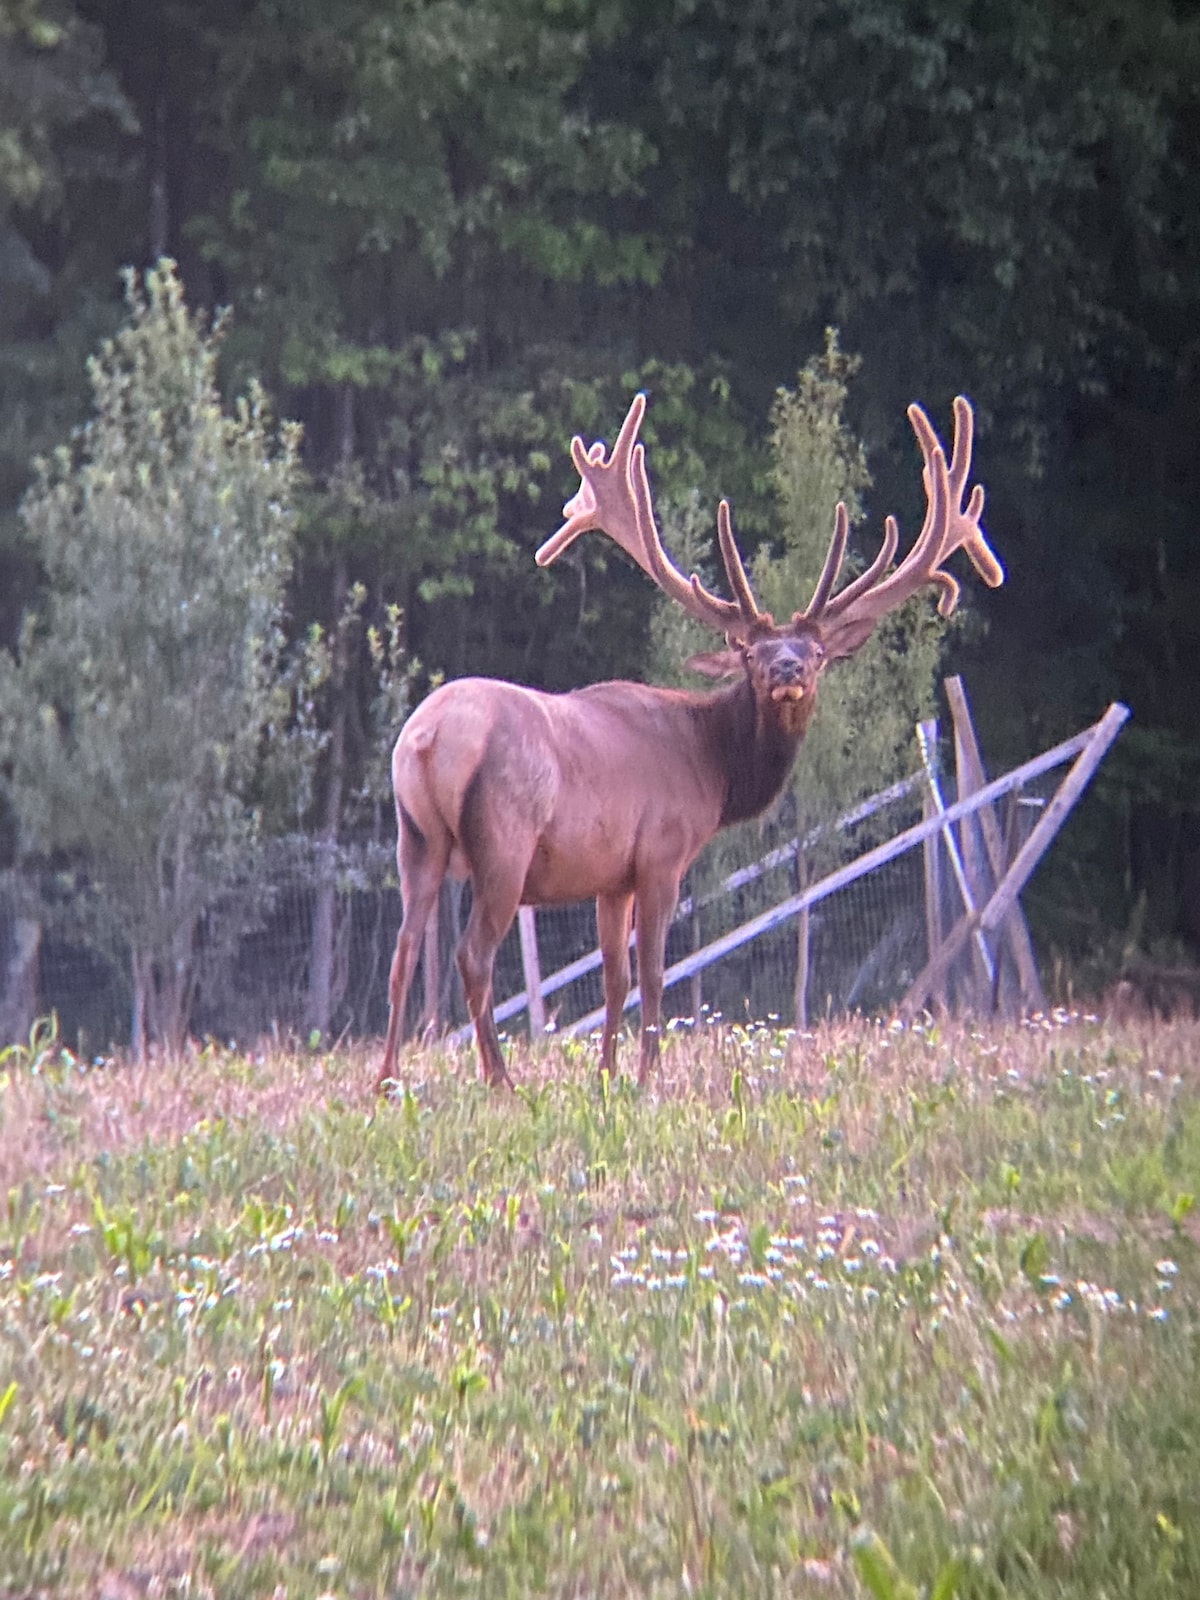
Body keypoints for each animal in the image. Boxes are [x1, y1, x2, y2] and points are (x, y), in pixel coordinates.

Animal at [377, 392, 1004, 1088]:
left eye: (816, 653)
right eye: (750, 654)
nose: (787, 671)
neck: (714, 769)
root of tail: (426, 738)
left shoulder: (611, 876)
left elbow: (615, 978)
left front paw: (606, 1075)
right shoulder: (661, 851)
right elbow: (653, 974)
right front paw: (648, 1077)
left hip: (416, 838)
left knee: (404, 950)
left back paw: (387, 1080)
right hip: (504, 839)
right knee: (472, 955)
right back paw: (501, 1080)